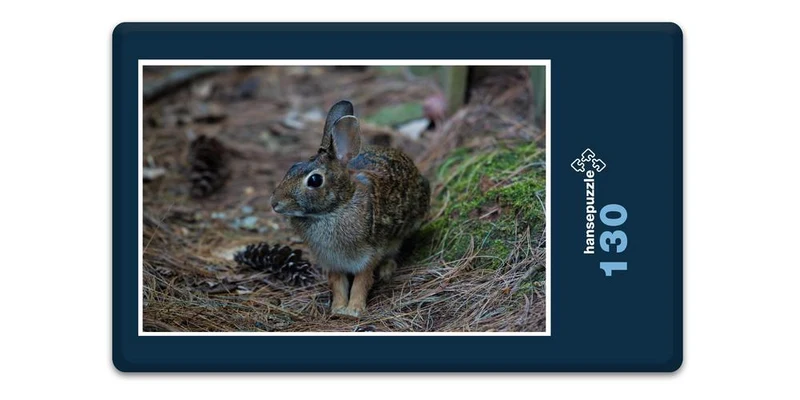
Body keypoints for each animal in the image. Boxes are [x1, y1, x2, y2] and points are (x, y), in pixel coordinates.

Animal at [271, 100, 430, 318]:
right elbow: (338, 284)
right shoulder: (332, 262)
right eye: (292, 167)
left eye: (315, 180)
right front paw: (338, 308)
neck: (336, 208)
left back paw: (386, 270)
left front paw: (354, 309)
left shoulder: (368, 255)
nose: (275, 203)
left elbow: (361, 282)